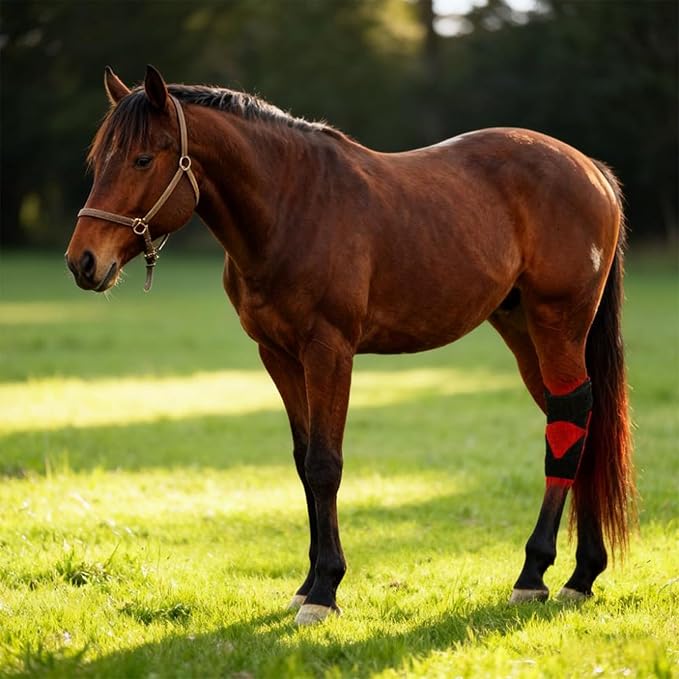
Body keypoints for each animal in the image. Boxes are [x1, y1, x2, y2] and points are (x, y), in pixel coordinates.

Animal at [66, 65, 635, 625]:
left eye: (142, 158)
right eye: (99, 160)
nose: (82, 262)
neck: (291, 207)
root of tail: (591, 170)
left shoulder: (329, 351)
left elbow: (325, 465)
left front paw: (325, 590)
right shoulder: (278, 356)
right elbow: (303, 462)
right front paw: (306, 585)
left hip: (557, 324)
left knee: (568, 423)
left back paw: (533, 575)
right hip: (523, 331)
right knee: (578, 422)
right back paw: (582, 574)